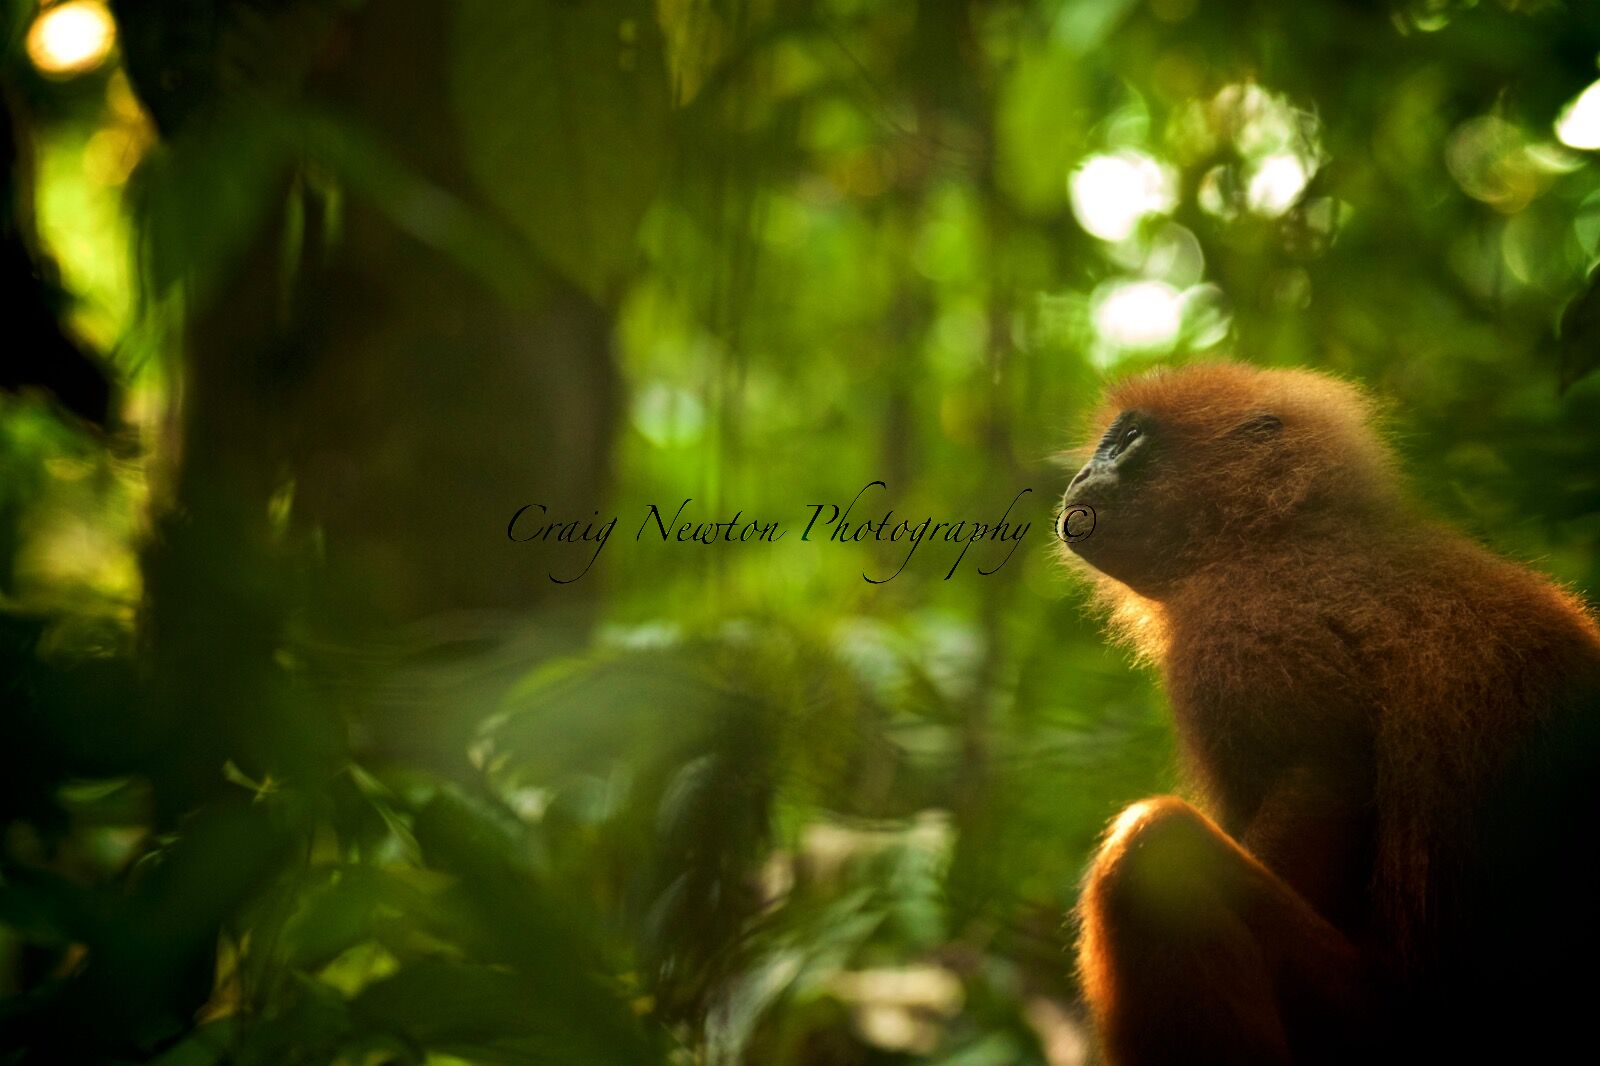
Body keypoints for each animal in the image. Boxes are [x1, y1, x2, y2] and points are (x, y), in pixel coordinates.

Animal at [1059, 363, 1600, 1064]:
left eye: (1127, 439)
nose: (1081, 473)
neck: (1272, 536)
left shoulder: (1242, 622)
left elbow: (1326, 768)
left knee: (1155, 847)